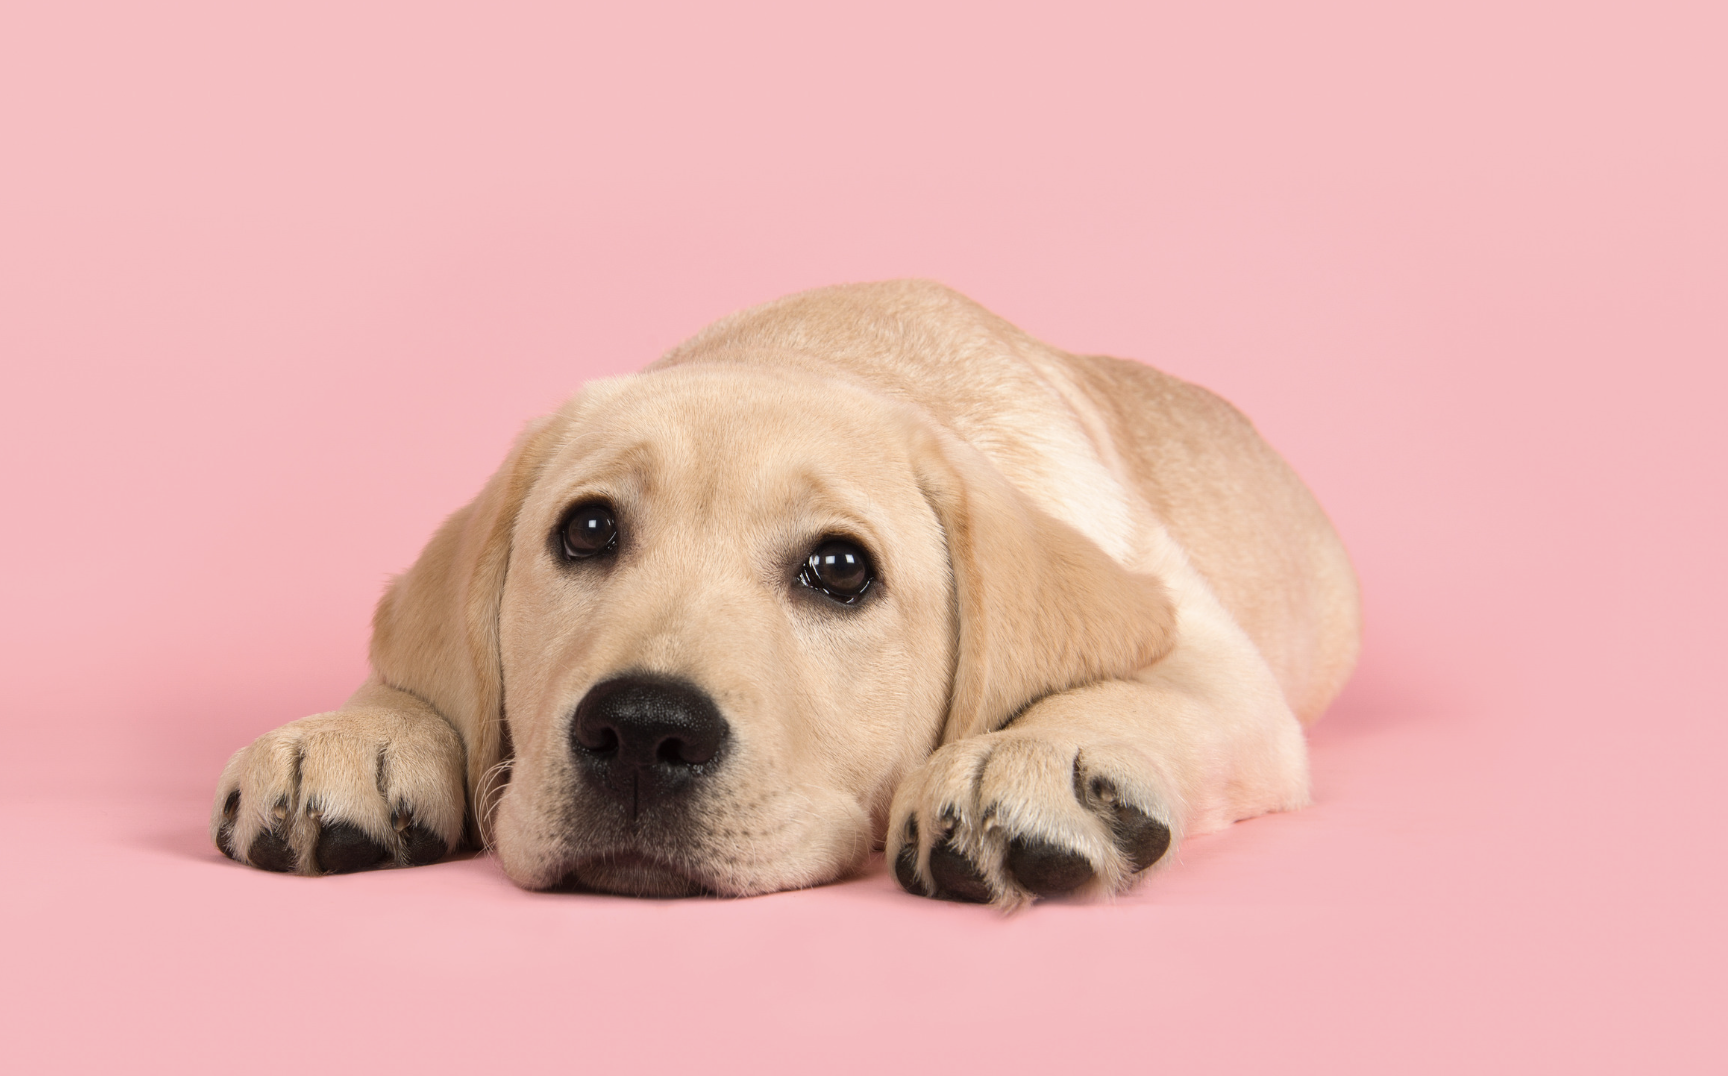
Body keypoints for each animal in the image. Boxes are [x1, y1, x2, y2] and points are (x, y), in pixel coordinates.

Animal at [211, 280, 1360, 906]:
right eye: (587, 530)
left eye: (841, 569)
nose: (641, 730)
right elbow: (423, 669)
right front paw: (357, 734)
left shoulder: (1215, 659)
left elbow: (1136, 684)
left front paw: (1029, 754)